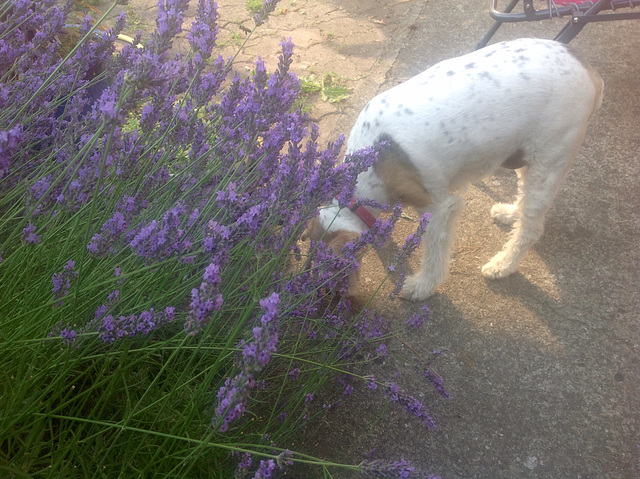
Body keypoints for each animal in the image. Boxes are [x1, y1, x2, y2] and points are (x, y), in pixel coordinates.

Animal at [304, 39, 604, 300]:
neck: (373, 161)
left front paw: (422, 286)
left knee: (531, 228)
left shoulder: (439, 207)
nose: (327, 297)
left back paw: (502, 265)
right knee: (524, 197)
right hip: (525, 157)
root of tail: (589, 69)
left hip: (548, 161)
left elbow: (434, 252)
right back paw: (509, 213)